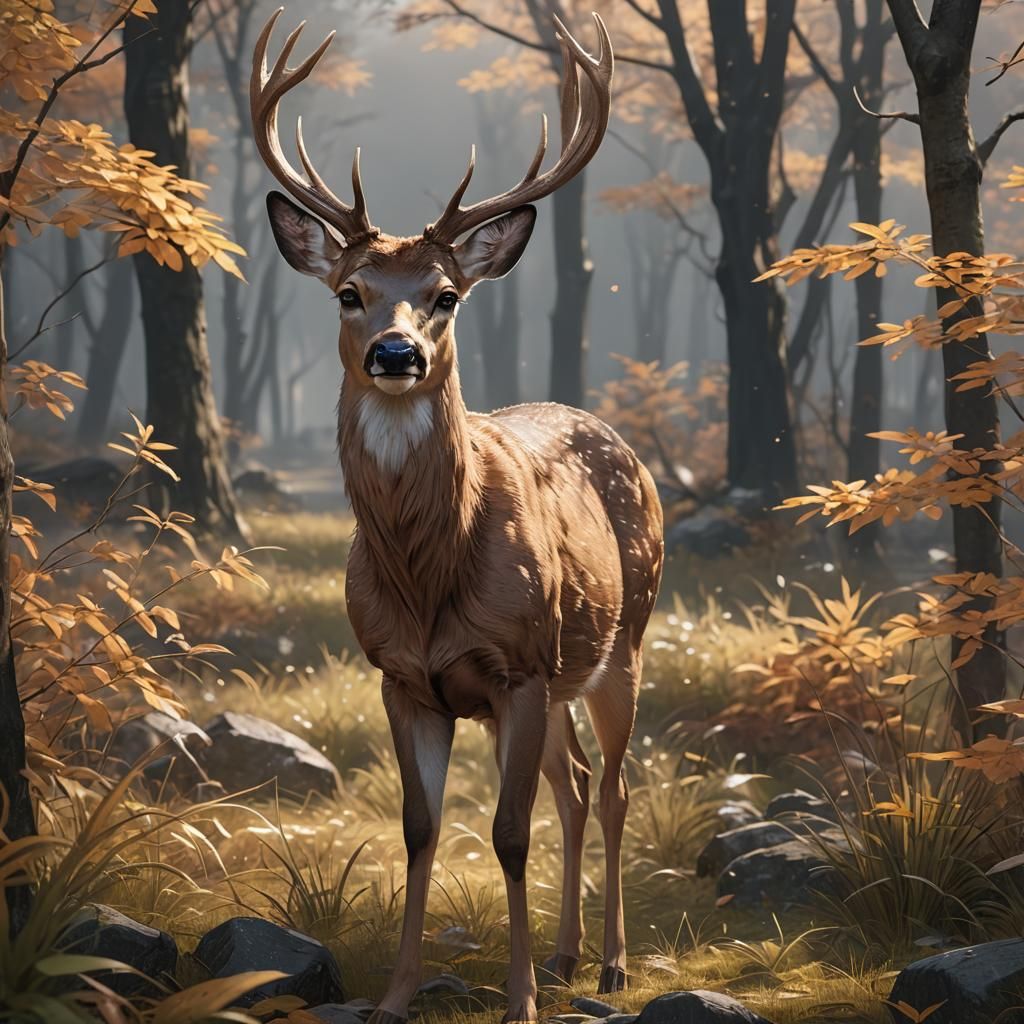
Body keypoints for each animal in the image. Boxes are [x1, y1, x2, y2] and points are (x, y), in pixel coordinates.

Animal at [251, 10, 664, 1024]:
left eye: (445, 296)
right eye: (349, 291)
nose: (397, 353)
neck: (428, 579)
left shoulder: (517, 667)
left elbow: (508, 834)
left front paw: (518, 1001)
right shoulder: (401, 678)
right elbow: (419, 825)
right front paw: (397, 996)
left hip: (621, 638)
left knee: (616, 786)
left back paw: (609, 964)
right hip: (562, 674)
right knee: (578, 783)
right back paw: (566, 954)